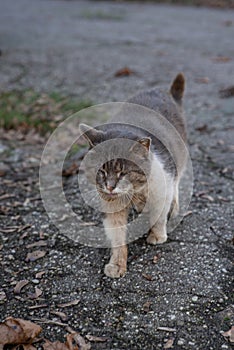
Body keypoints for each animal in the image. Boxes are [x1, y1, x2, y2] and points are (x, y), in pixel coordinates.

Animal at [79, 74, 187, 278]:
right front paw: (117, 265)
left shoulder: (163, 188)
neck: (134, 191)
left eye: (123, 172)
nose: (110, 186)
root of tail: (163, 91)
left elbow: (159, 215)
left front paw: (157, 235)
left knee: (177, 184)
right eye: (101, 171)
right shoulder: (112, 209)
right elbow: (117, 237)